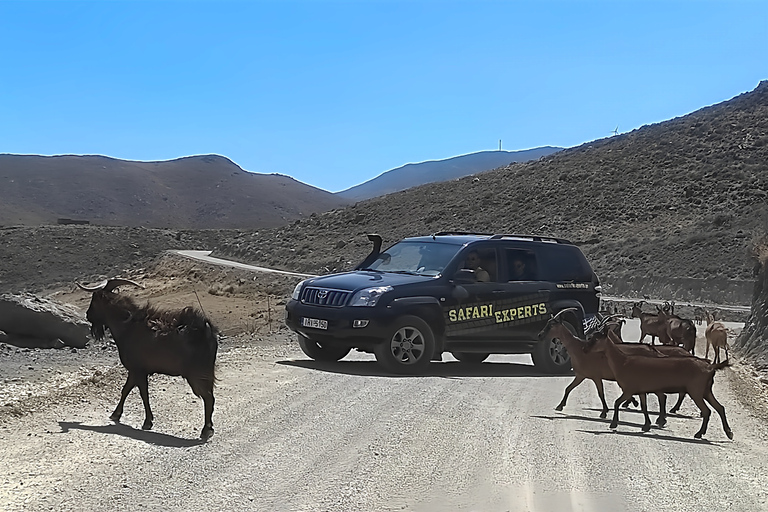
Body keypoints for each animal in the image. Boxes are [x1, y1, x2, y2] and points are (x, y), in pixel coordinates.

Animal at [77, 280, 219, 440]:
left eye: (94, 300)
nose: (88, 315)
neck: (127, 326)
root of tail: (207, 330)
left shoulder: (138, 370)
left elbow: (143, 394)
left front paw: (147, 422)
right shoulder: (135, 371)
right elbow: (126, 389)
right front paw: (116, 414)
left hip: (197, 373)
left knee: (208, 397)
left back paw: (206, 430)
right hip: (206, 372)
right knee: (210, 396)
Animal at [584, 334, 728, 438]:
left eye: (595, 339)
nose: (585, 350)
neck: (623, 362)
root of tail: (710, 367)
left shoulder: (629, 389)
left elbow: (617, 402)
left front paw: (613, 424)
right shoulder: (640, 390)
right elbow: (644, 407)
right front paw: (646, 426)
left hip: (696, 390)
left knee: (707, 410)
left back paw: (699, 433)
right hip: (706, 390)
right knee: (720, 407)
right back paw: (728, 432)